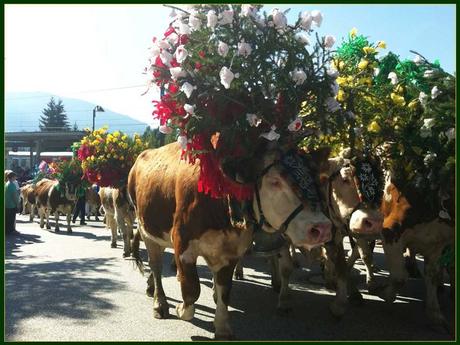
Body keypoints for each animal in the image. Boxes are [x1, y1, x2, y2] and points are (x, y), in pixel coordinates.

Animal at [129, 141, 334, 338]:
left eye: (316, 179)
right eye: (274, 181)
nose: (323, 227)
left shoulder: (231, 251)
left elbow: (225, 289)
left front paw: (222, 327)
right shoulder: (182, 242)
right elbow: (192, 290)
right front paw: (181, 309)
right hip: (146, 229)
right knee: (156, 266)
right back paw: (160, 303)